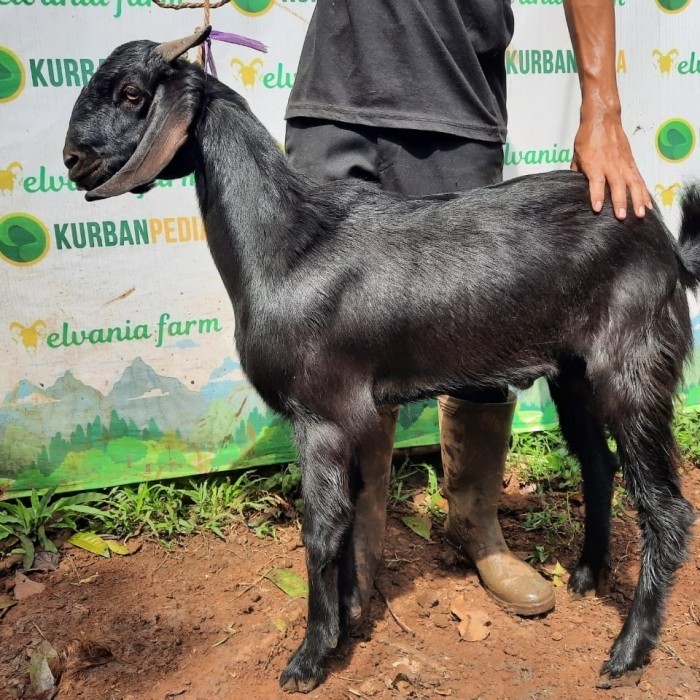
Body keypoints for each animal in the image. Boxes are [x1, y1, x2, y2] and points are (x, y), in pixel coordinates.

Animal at [63, 28, 696, 696]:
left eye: (132, 93)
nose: (72, 160)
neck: (288, 245)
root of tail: (668, 247)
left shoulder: (318, 414)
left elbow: (320, 529)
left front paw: (310, 656)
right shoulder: (352, 414)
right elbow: (350, 515)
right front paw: (347, 618)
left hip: (634, 371)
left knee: (667, 509)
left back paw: (628, 650)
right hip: (575, 373)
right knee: (600, 467)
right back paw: (587, 575)